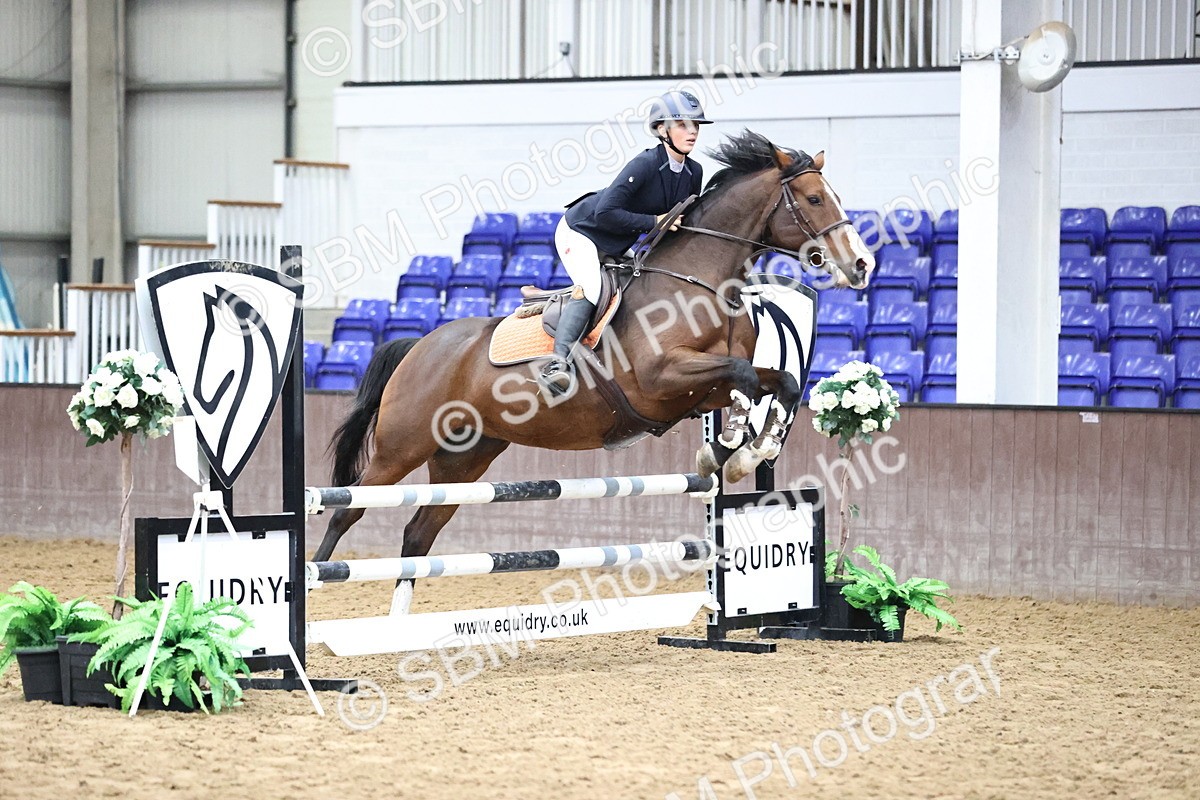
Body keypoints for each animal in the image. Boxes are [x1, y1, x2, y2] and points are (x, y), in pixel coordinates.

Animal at [313, 131, 875, 608]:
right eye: (815, 199)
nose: (862, 265)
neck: (701, 284)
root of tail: (419, 346)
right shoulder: (660, 380)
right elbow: (741, 375)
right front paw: (734, 446)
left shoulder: (695, 392)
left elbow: (777, 382)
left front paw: (743, 452)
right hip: (402, 446)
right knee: (349, 507)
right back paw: (316, 583)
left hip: (465, 457)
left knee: (419, 533)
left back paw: (400, 622)